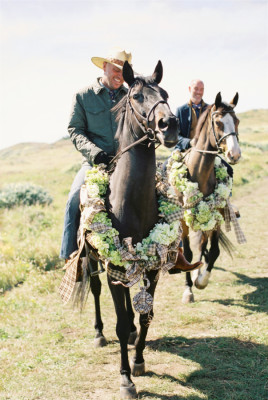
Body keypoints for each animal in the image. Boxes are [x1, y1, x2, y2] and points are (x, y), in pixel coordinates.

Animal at [85, 61, 179, 398]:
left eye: (165, 94)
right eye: (137, 96)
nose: (169, 124)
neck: (131, 202)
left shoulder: (151, 265)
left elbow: (145, 314)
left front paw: (138, 360)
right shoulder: (112, 262)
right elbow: (122, 321)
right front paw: (126, 378)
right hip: (93, 260)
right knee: (97, 290)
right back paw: (99, 333)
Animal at [179, 91, 242, 304]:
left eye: (237, 121)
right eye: (218, 123)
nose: (235, 154)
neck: (200, 174)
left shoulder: (216, 217)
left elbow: (214, 251)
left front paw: (201, 281)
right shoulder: (183, 223)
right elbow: (187, 253)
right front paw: (188, 290)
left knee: (203, 244)